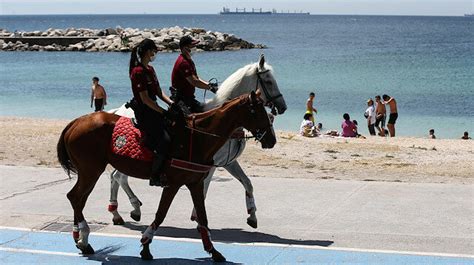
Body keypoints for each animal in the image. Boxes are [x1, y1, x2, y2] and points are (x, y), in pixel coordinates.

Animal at [57, 92, 276, 260]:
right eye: (258, 112)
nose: (272, 140)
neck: (198, 136)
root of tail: (75, 122)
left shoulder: (195, 183)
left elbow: (203, 218)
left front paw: (213, 251)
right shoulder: (173, 184)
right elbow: (161, 214)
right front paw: (146, 245)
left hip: (89, 171)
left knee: (80, 197)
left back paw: (80, 237)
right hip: (90, 171)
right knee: (77, 197)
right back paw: (86, 237)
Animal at [108, 53, 286, 227]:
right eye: (268, 81)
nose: (282, 106)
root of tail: (118, 111)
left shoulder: (228, 162)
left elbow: (247, 183)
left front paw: (252, 216)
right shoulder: (209, 166)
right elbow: (204, 189)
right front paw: (197, 217)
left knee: (116, 177)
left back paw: (120, 212)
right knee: (118, 177)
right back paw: (129, 208)